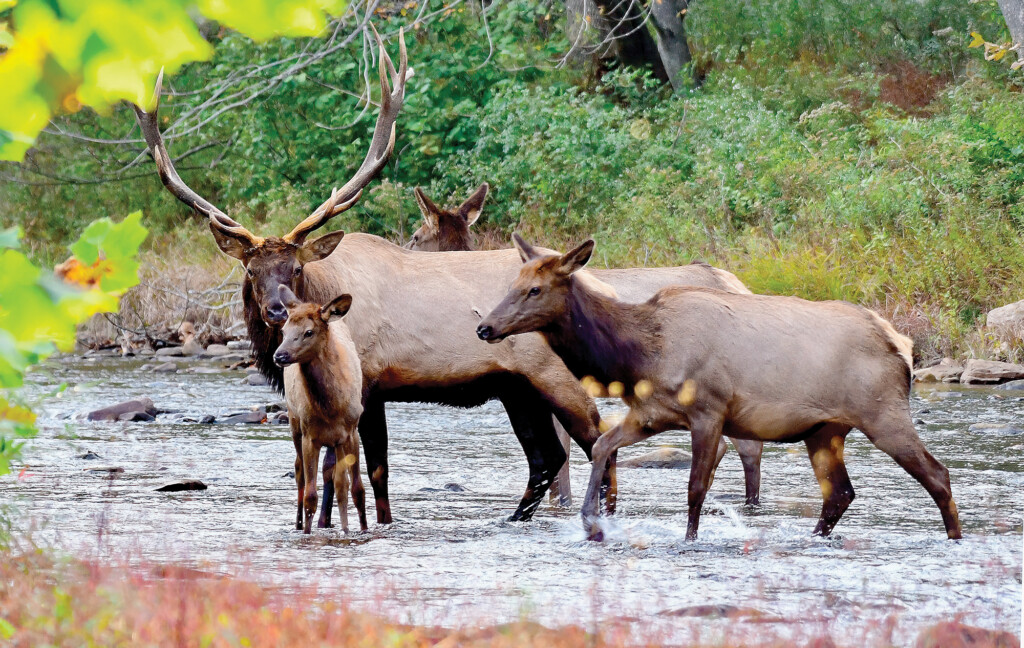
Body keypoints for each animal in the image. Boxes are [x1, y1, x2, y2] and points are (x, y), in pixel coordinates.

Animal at [274, 285, 366, 535]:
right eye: (284, 331)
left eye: (308, 332)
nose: (280, 355)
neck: (331, 407)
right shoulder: (310, 437)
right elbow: (311, 496)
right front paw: (306, 533)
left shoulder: (351, 432)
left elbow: (355, 489)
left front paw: (359, 530)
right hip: (294, 424)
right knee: (298, 473)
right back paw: (297, 525)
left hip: (337, 441)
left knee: (340, 483)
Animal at [477, 235, 963, 543]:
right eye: (512, 284)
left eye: (535, 289)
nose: (485, 328)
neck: (638, 355)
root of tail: (902, 346)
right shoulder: (651, 414)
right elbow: (601, 446)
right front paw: (591, 521)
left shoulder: (709, 411)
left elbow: (696, 488)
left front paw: (689, 539)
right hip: (825, 429)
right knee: (840, 494)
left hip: (883, 413)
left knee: (937, 474)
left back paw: (955, 539)